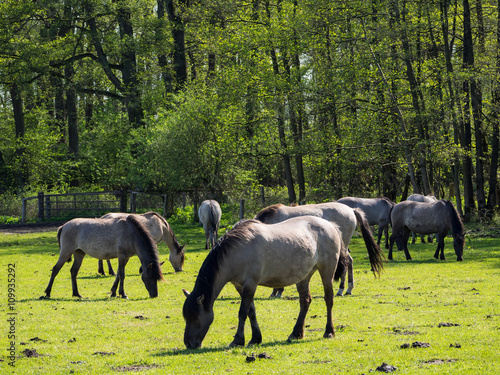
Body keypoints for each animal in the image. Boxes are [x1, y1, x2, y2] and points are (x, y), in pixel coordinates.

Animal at [183, 217, 348, 350]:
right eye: (186, 317)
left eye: (196, 318)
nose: (189, 344)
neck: (237, 251)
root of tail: (330, 225)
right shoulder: (240, 286)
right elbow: (251, 311)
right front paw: (255, 338)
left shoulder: (250, 284)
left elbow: (242, 312)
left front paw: (238, 340)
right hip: (304, 276)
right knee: (305, 301)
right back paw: (296, 333)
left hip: (327, 272)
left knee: (328, 299)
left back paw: (329, 332)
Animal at [254, 203, 382, 296]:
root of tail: (351, 209)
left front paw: (278, 291)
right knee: (350, 261)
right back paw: (348, 289)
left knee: (346, 262)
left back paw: (341, 290)